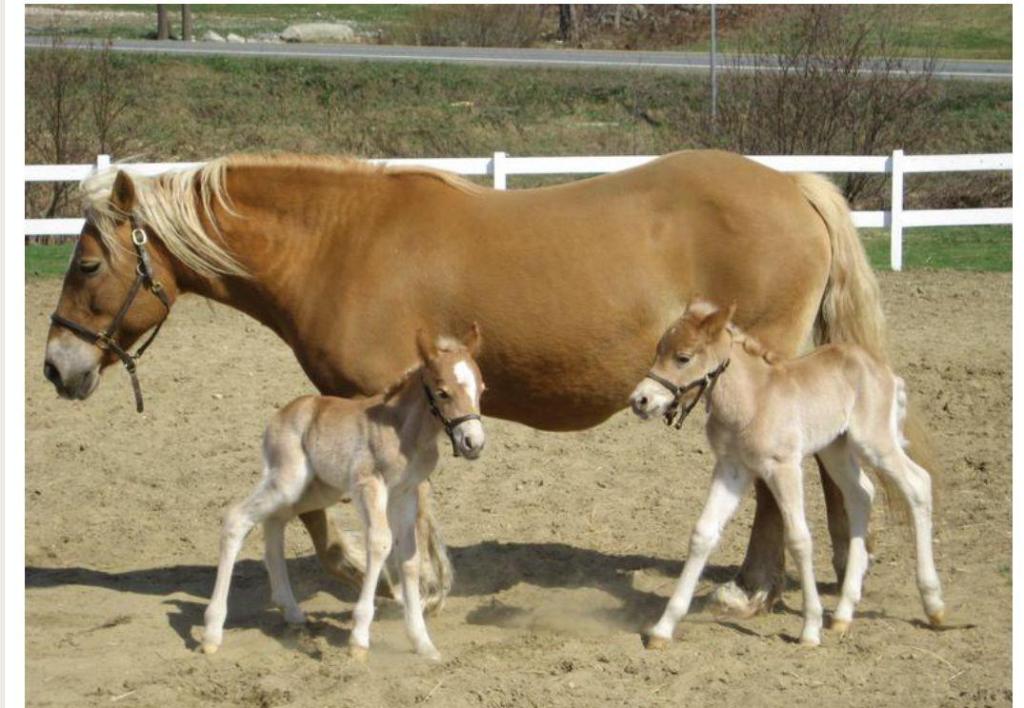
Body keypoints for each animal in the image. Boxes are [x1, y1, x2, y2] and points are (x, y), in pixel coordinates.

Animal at [44, 149, 917, 614]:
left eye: (85, 263)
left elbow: (389, 509)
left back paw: (752, 588)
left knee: (777, 484)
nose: (56, 365)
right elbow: (322, 507)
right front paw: (380, 570)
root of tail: (794, 184)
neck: (339, 243)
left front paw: (402, 579)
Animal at [204, 325, 487, 659]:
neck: (405, 431)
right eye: (443, 392)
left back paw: (291, 611)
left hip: (314, 490)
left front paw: (422, 642)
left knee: (275, 522)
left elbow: (410, 557)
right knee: (236, 518)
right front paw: (359, 639)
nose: (473, 442)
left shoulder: (404, 493)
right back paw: (211, 632)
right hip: (287, 480)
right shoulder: (369, 485)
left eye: (481, 389)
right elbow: (379, 543)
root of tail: (279, 416)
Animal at [630, 301, 942, 643]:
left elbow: (798, 538)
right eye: (658, 350)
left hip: (875, 442)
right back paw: (843, 614)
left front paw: (810, 629)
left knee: (918, 483)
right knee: (861, 494)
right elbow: (703, 533)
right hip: (835, 449)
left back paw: (934, 605)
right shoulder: (731, 469)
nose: (640, 400)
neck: (753, 399)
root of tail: (884, 370)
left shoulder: (784, 468)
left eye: (683, 357)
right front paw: (663, 628)